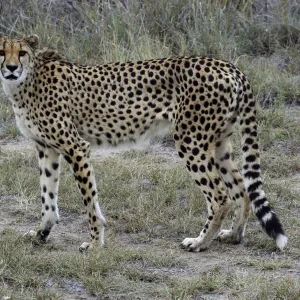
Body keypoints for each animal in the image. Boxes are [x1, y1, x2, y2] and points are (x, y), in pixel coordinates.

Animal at [0, 34, 288, 251]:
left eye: (21, 52)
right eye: (2, 51)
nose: (11, 68)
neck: (25, 81)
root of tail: (227, 65)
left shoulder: (75, 147)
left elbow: (89, 201)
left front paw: (94, 243)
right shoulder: (46, 148)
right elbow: (47, 198)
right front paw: (42, 234)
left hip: (190, 140)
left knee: (220, 195)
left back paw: (199, 242)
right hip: (218, 143)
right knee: (241, 188)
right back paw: (233, 235)